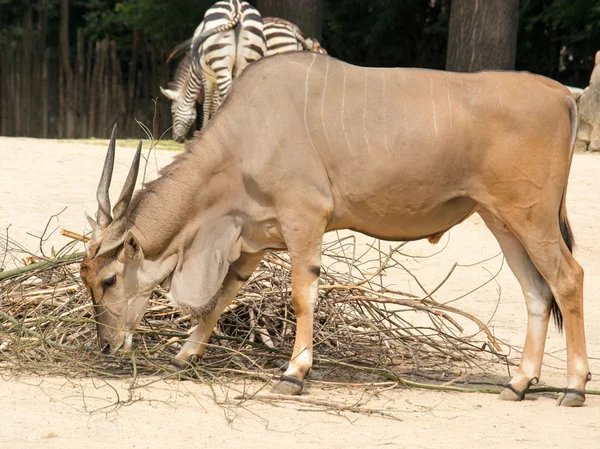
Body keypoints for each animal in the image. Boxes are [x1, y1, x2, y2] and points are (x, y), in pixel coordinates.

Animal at [81, 51, 592, 406]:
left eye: (108, 279)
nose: (107, 345)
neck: (246, 132)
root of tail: (563, 95)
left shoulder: (304, 219)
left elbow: (302, 294)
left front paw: (294, 373)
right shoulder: (254, 238)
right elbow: (222, 295)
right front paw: (186, 354)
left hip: (531, 217)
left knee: (568, 278)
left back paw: (574, 387)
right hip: (501, 219)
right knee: (536, 291)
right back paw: (519, 383)